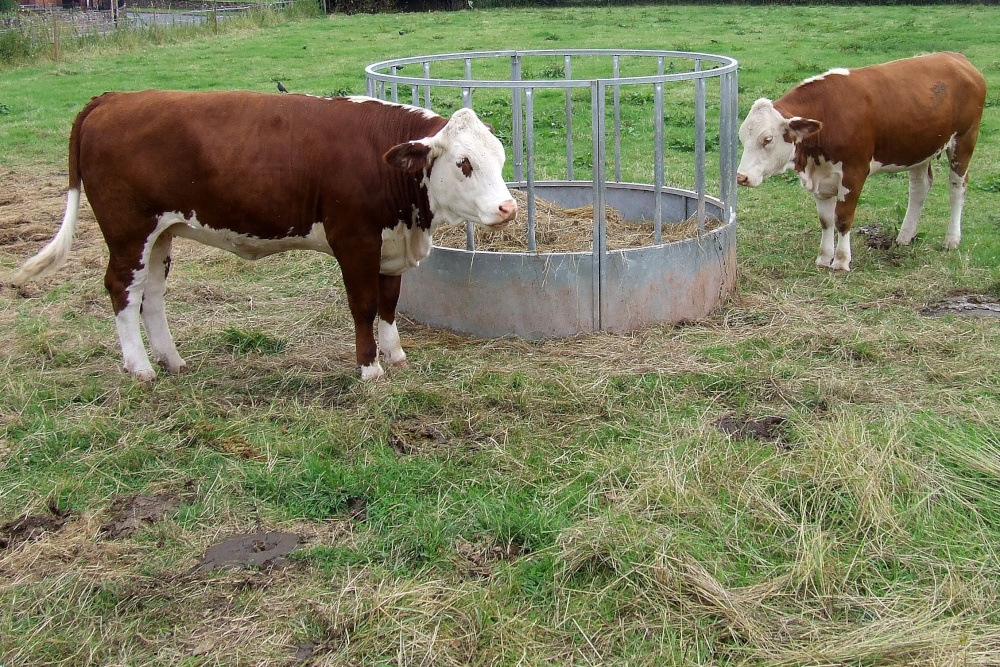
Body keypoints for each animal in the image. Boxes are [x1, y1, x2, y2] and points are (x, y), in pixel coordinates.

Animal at [9, 90, 516, 380]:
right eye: (464, 163)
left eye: (500, 156)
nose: (507, 208)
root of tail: (111, 98)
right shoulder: (354, 238)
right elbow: (365, 305)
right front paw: (369, 370)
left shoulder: (391, 243)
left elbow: (389, 303)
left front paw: (395, 356)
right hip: (128, 229)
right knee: (121, 289)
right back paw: (140, 369)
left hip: (162, 232)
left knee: (150, 295)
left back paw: (172, 361)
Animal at [736, 51, 984, 272]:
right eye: (742, 138)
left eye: (767, 139)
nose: (741, 177)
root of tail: (955, 57)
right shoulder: (821, 178)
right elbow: (826, 220)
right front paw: (823, 258)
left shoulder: (854, 173)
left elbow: (843, 218)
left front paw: (841, 261)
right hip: (919, 148)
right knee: (919, 188)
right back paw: (905, 236)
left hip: (964, 140)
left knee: (957, 188)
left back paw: (952, 239)